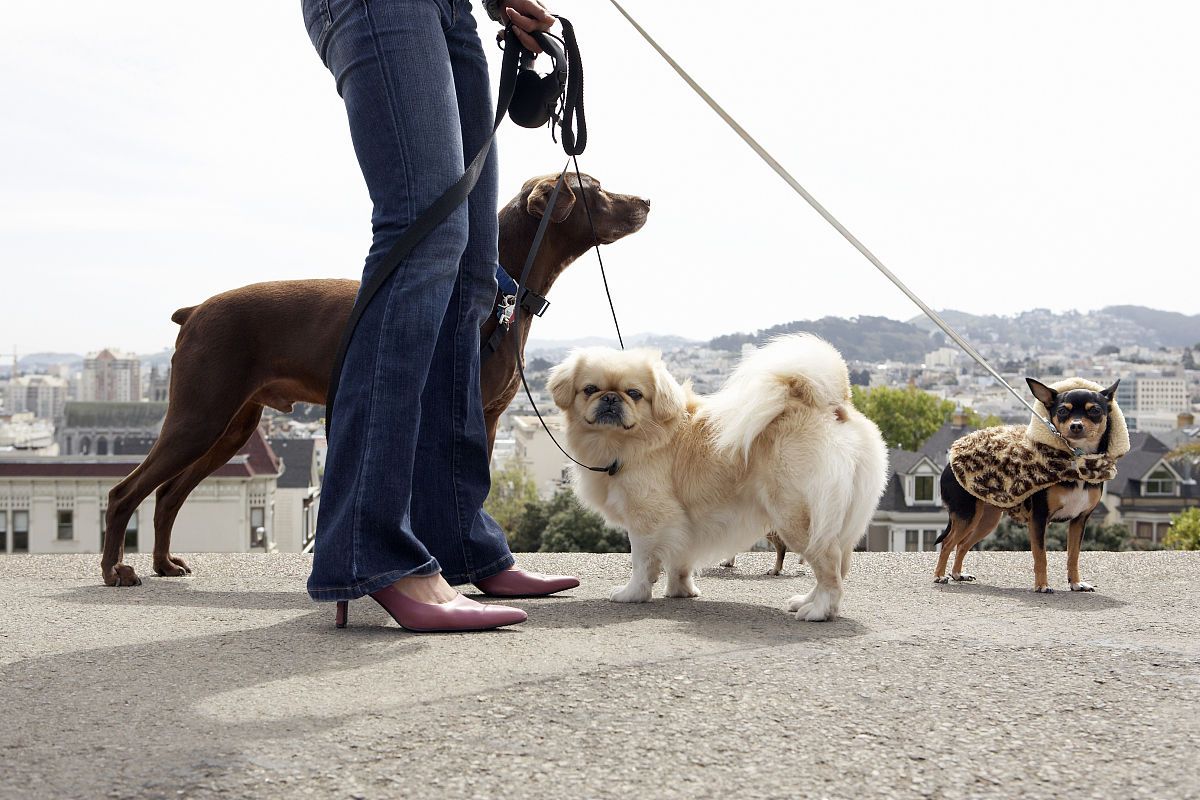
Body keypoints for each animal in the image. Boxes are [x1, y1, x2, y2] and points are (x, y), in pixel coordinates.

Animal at [99, 175, 652, 585]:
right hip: (200, 415)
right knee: (124, 492)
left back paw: (163, 563)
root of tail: (194, 311)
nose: (646, 199)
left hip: (231, 428)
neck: (499, 290)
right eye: (595, 187)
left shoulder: (489, 420)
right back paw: (115, 569)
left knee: (167, 495)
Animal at [549, 335, 888, 623]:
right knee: (835, 565)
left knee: (828, 566)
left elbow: (642, 563)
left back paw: (818, 611)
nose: (610, 398)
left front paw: (633, 594)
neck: (637, 439)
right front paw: (681, 592)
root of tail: (835, 406)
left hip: (795, 516)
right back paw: (805, 601)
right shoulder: (681, 522)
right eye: (590, 389)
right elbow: (679, 561)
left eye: (634, 394)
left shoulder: (648, 519)